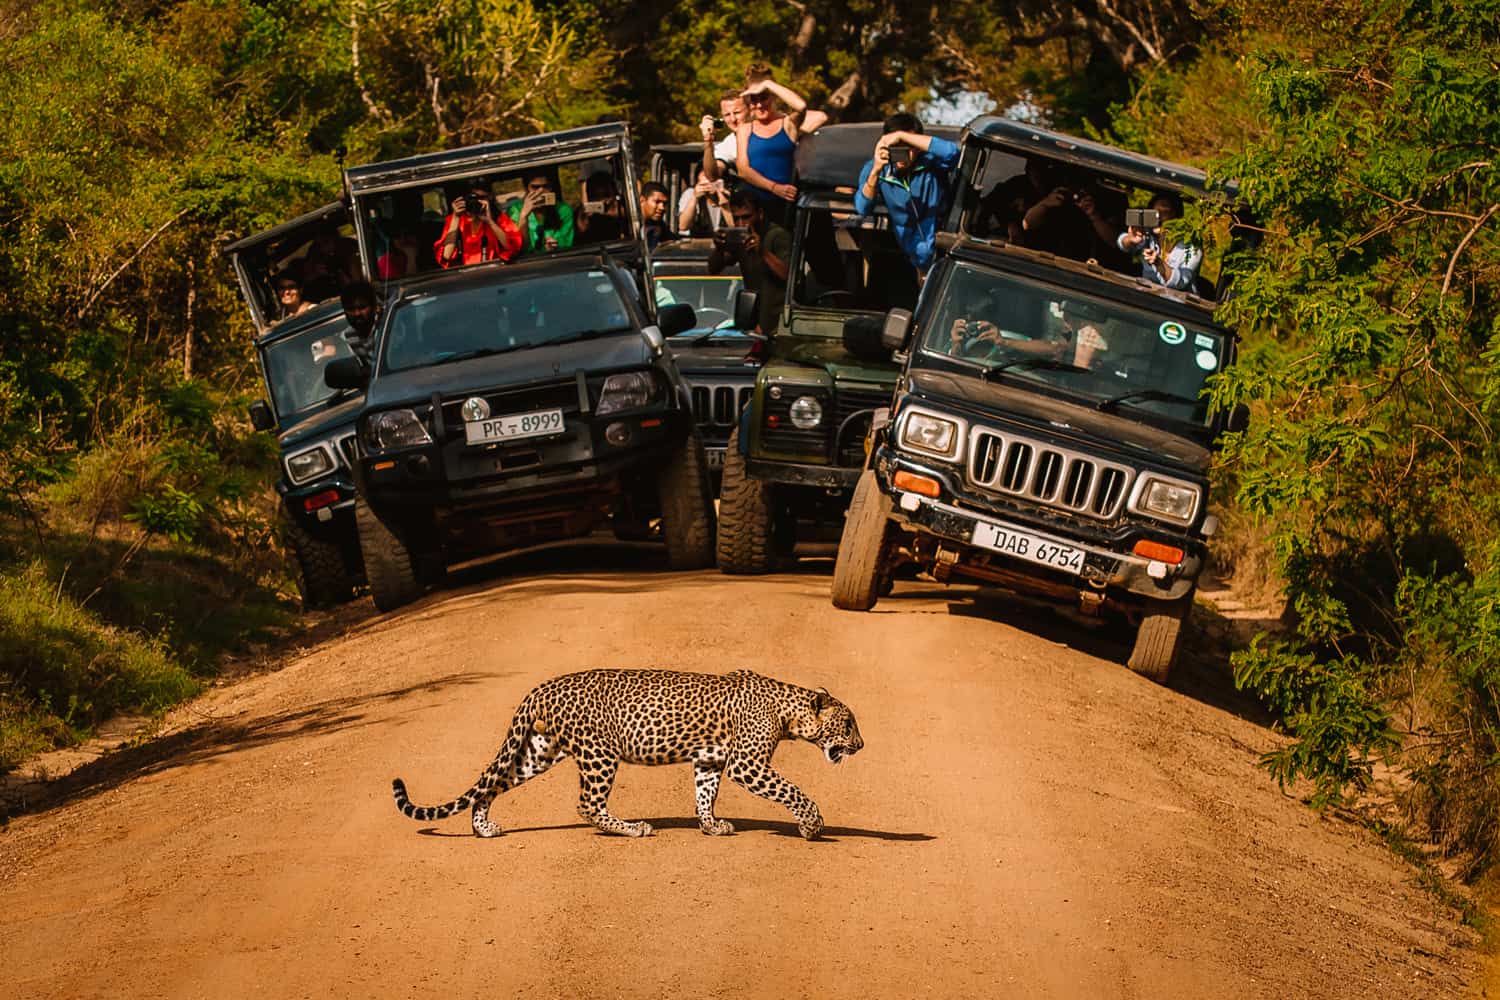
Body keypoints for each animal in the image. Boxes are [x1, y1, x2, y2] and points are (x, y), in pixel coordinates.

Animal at [393, 668, 864, 839]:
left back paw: (484, 828)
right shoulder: (747, 764)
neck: (790, 711)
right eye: (848, 724)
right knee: (587, 804)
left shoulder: (710, 759)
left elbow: (705, 795)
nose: (861, 745)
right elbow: (792, 791)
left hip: (540, 751)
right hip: (599, 754)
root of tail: (541, 687)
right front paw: (812, 825)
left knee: (491, 784)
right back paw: (633, 829)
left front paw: (711, 826)